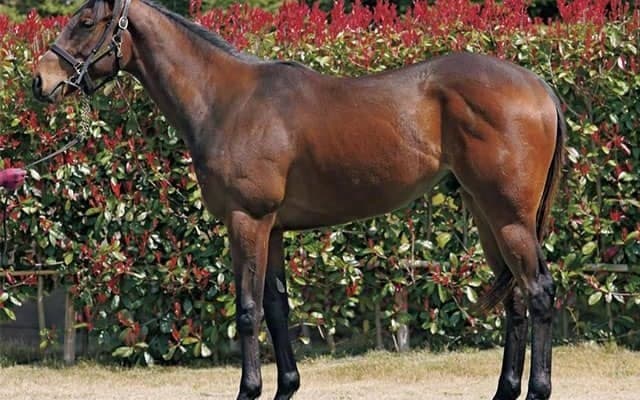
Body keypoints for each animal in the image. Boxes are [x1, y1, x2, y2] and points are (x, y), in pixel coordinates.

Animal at [33, 1, 565, 399]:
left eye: (85, 22)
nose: (40, 80)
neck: (227, 102)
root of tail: (538, 85)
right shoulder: (274, 229)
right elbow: (276, 307)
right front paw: (285, 386)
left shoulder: (247, 220)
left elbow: (248, 309)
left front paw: (248, 390)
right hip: (487, 215)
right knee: (516, 297)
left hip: (508, 217)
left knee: (539, 291)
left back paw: (538, 389)